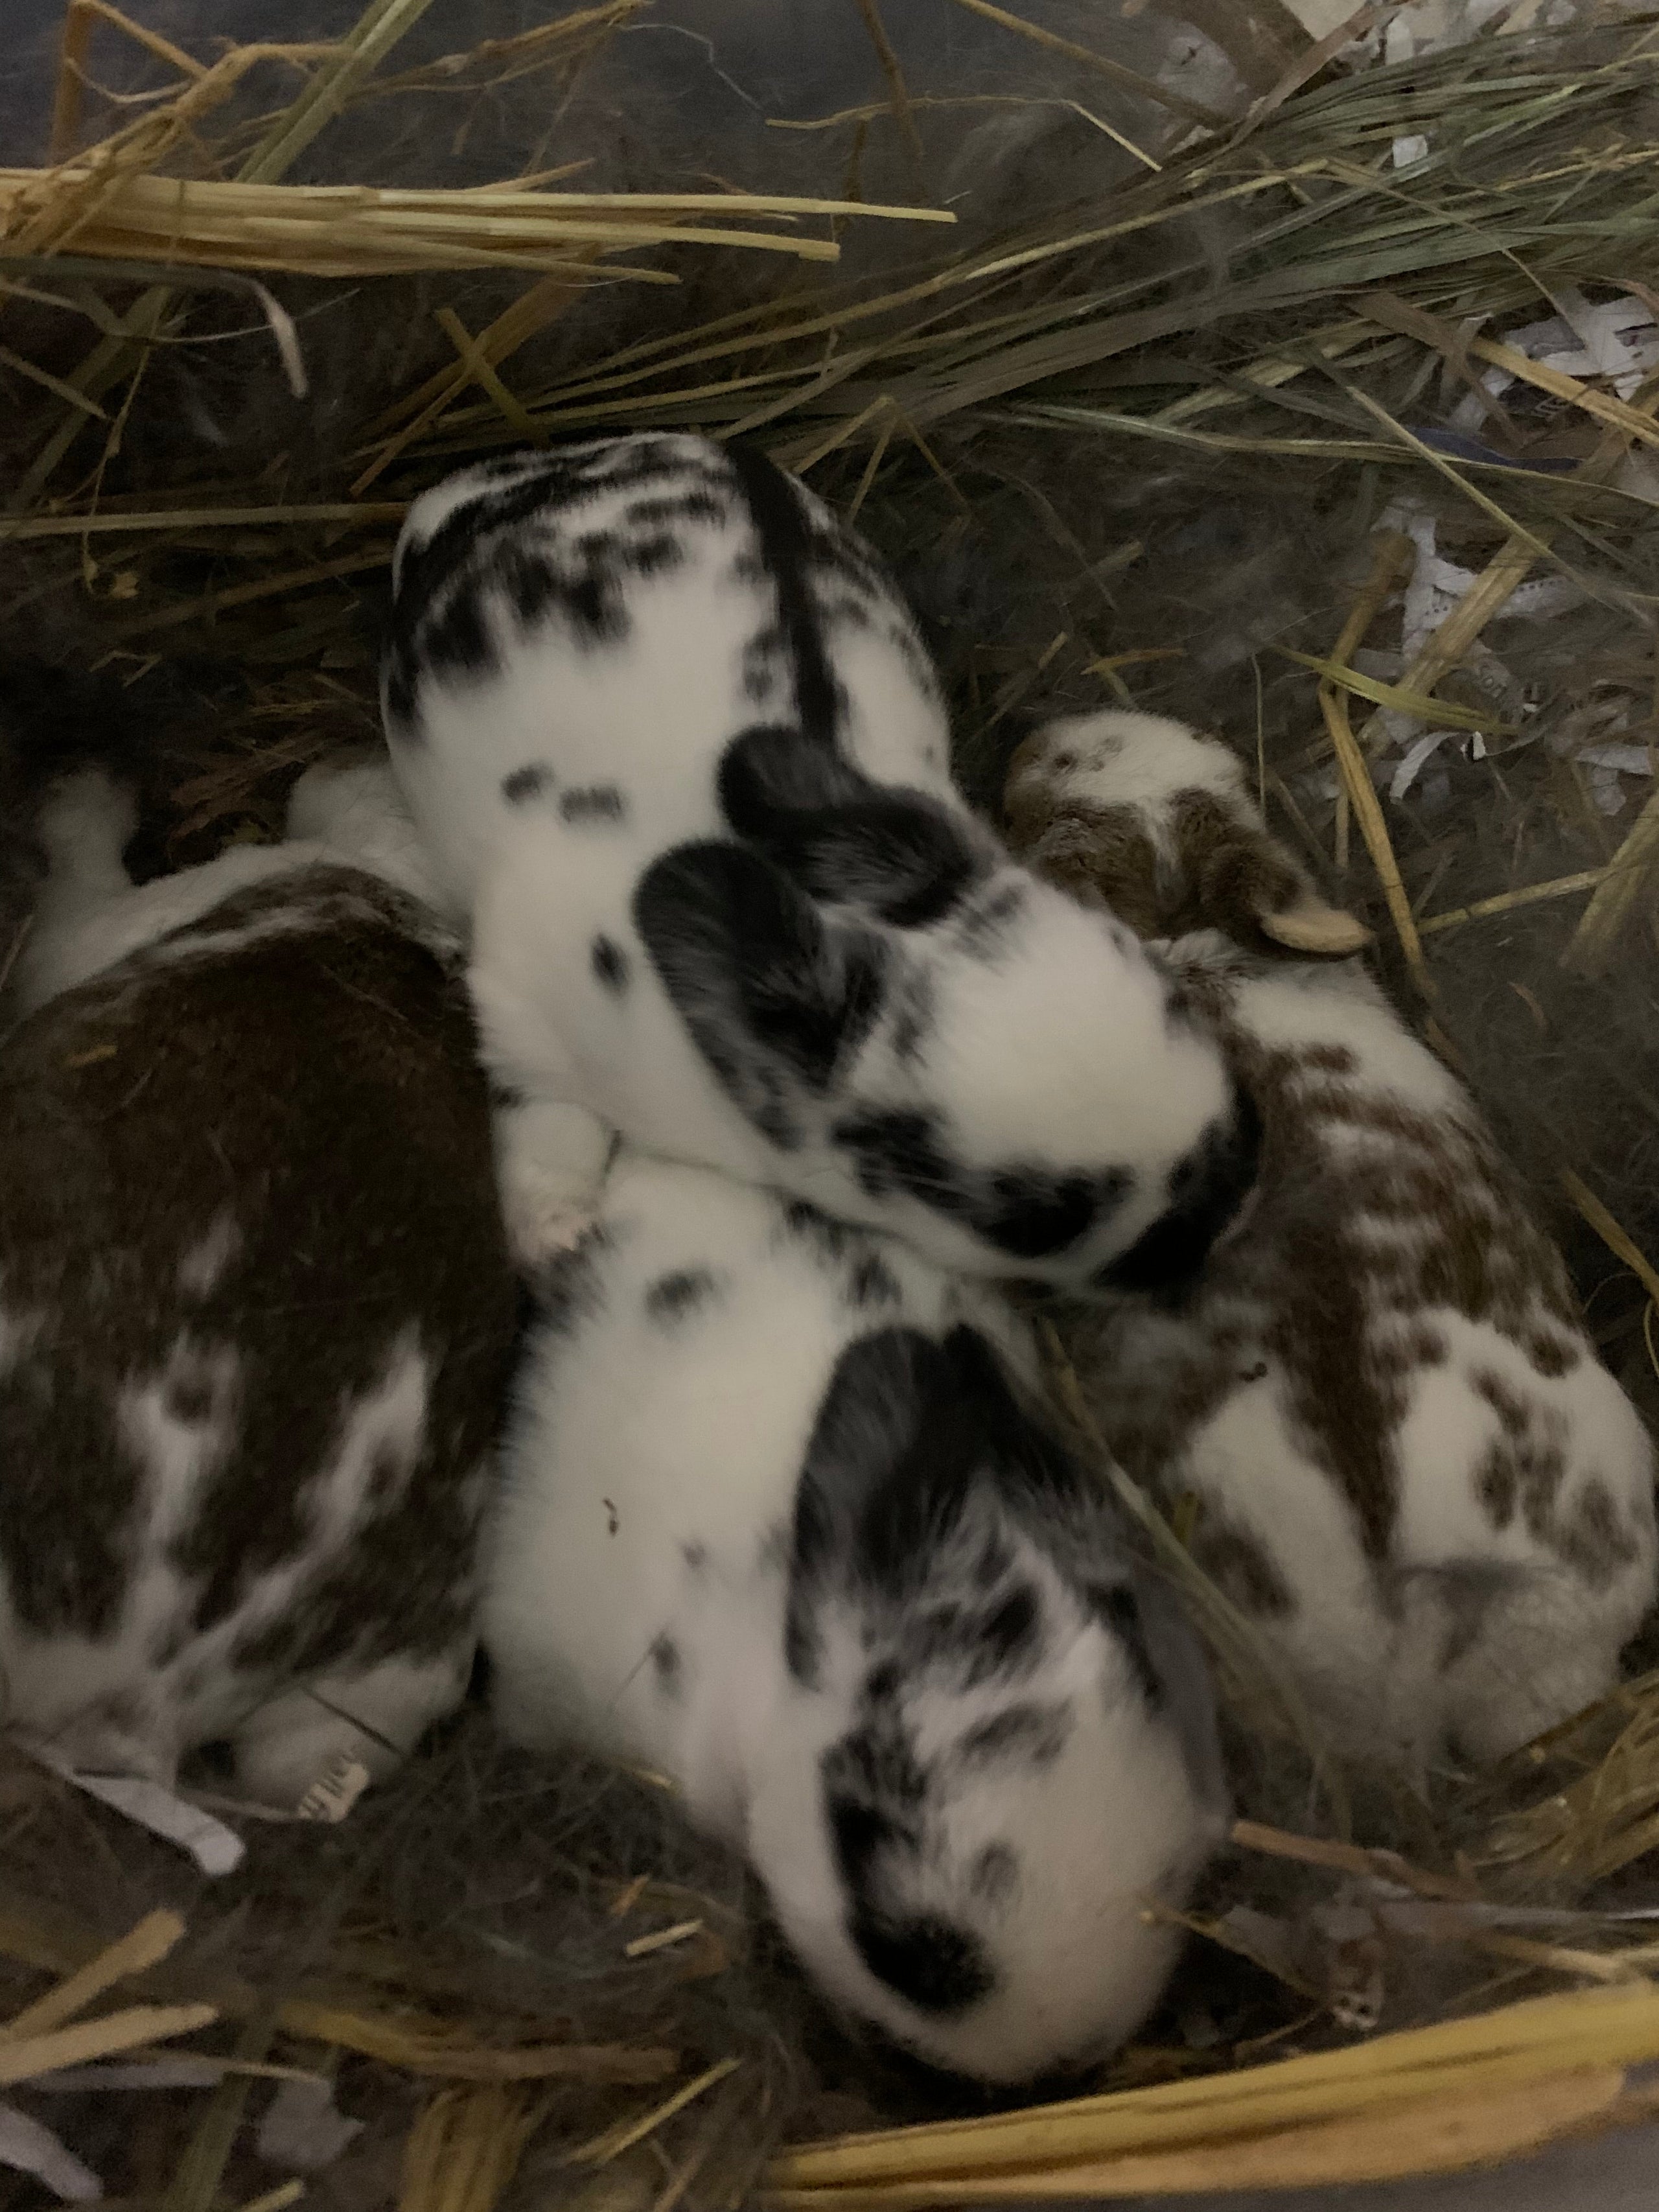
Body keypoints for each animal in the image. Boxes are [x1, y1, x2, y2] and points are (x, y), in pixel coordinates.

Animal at [376, 431, 1256, 1292]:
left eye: (1177, 1002)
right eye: (1032, 1218)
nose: (1234, 1202)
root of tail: (475, 490)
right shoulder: (523, 1013)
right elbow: (549, 1126)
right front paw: (557, 1238)